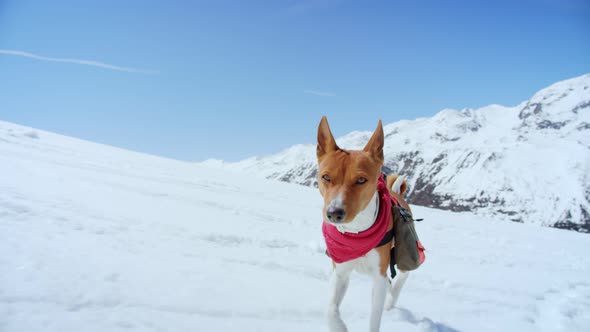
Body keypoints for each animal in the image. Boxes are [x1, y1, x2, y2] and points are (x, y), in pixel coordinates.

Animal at [320, 116, 412, 332]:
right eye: (326, 177)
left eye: (361, 180)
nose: (334, 213)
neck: (356, 233)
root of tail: (397, 193)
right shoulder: (341, 272)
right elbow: (330, 311)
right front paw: (340, 327)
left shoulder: (378, 277)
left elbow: (374, 320)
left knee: (401, 277)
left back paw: (391, 301)